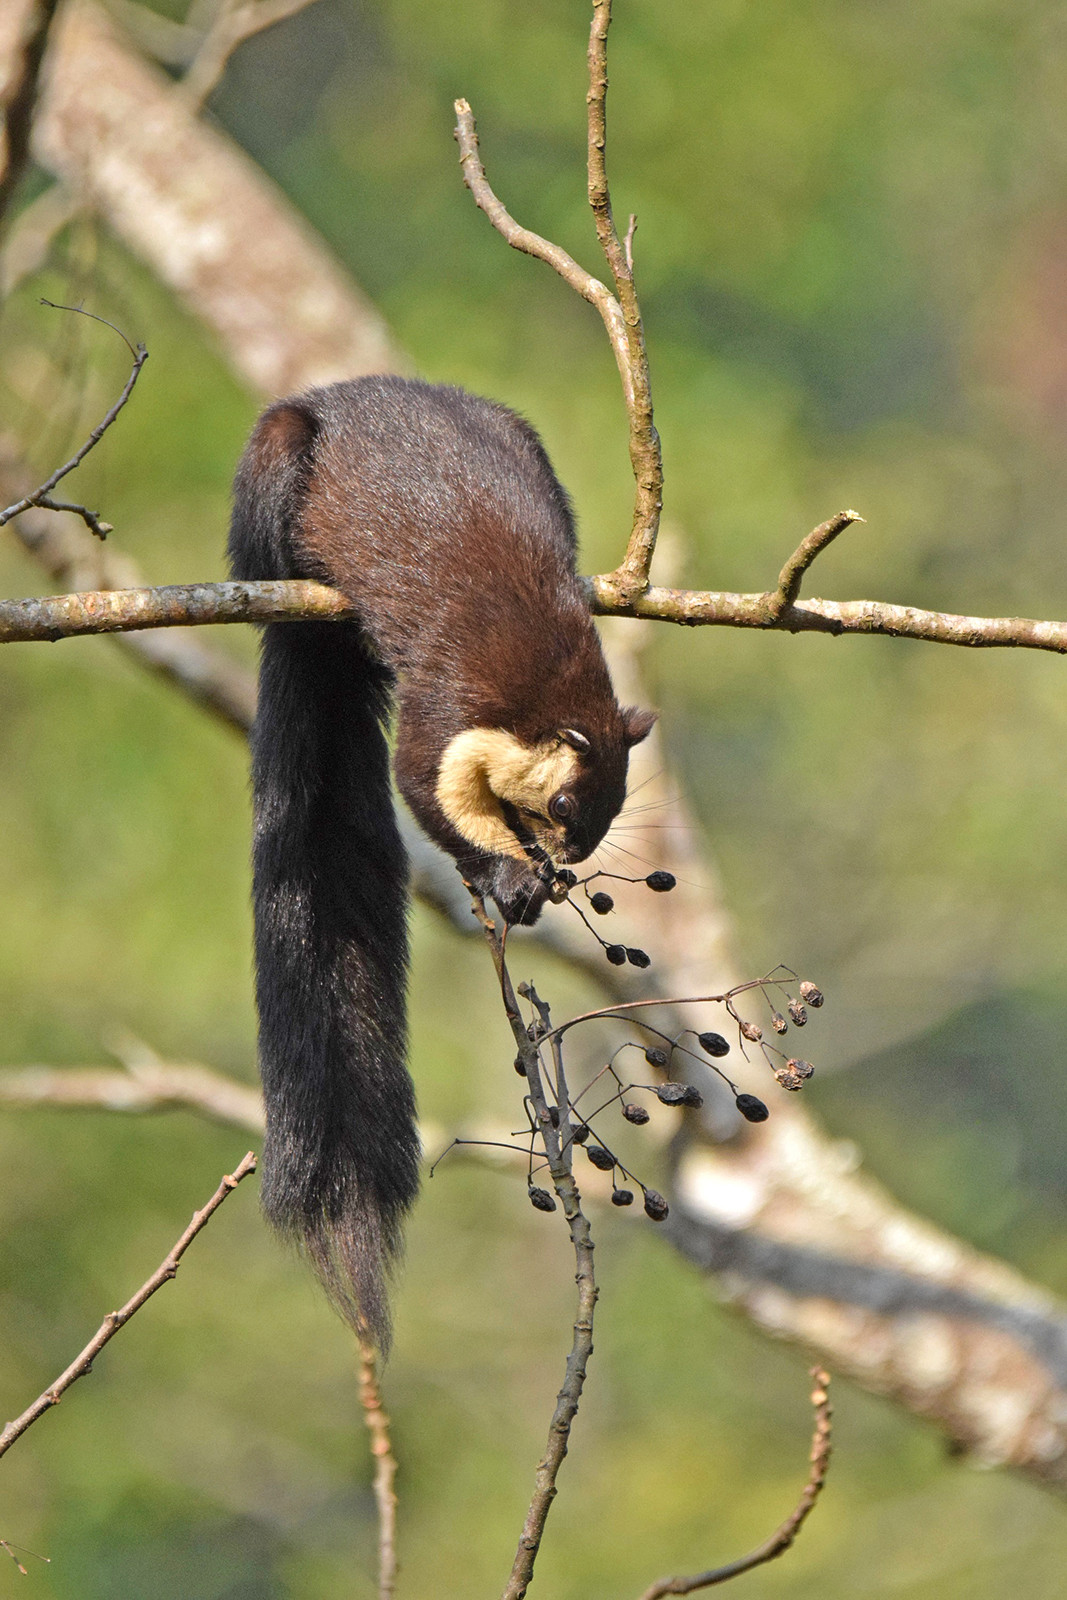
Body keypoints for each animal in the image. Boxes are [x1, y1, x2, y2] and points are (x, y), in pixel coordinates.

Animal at [228, 375, 654, 1347]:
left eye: (612, 815)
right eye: (567, 806)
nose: (568, 857)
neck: (545, 663)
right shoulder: (447, 708)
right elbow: (429, 790)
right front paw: (509, 877)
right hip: (273, 459)